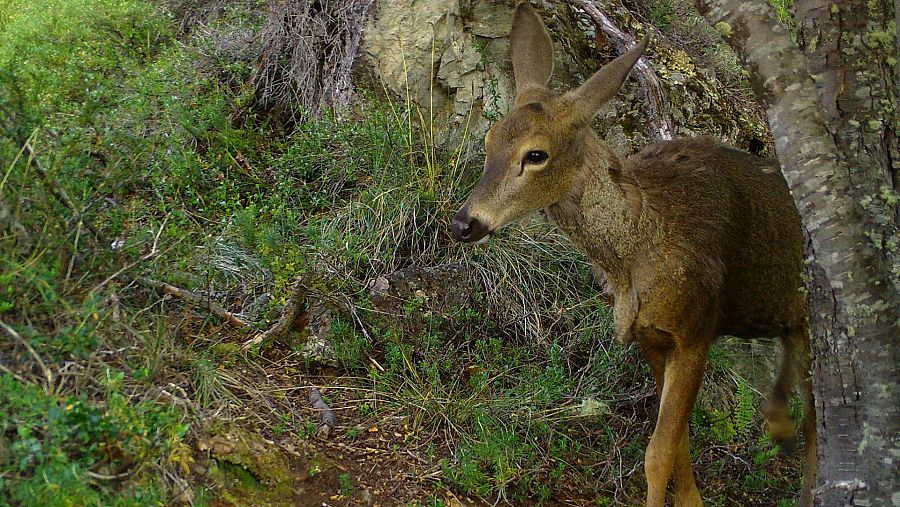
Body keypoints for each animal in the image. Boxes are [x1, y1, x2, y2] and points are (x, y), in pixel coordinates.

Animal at [450, 1, 816, 506]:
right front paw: (692, 500)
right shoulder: (650, 336)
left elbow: (658, 452)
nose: (464, 222)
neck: (635, 257)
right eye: (488, 140)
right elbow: (679, 443)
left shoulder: (696, 327)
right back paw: (779, 425)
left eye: (536, 154)